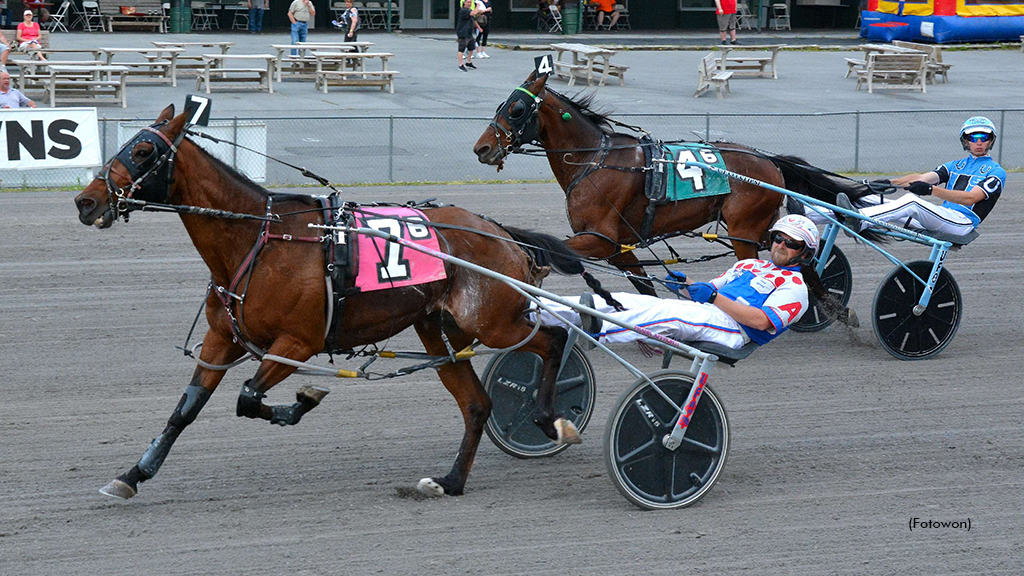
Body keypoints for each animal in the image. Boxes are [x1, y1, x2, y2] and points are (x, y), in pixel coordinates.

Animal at [74, 105, 614, 500]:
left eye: (144, 149)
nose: (85, 201)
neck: (259, 239)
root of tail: (499, 231)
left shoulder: (297, 343)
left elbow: (248, 399)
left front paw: (301, 402)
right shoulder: (221, 338)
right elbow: (184, 412)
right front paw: (132, 475)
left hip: (494, 319)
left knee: (553, 338)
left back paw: (551, 419)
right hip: (440, 332)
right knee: (478, 404)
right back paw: (450, 481)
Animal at [471, 71, 880, 293]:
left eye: (516, 109)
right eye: (501, 105)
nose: (482, 147)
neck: (594, 161)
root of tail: (770, 161)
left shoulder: (599, 239)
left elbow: (550, 247)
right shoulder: (620, 247)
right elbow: (644, 287)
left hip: (743, 232)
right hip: (760, 230)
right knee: (799, 259)